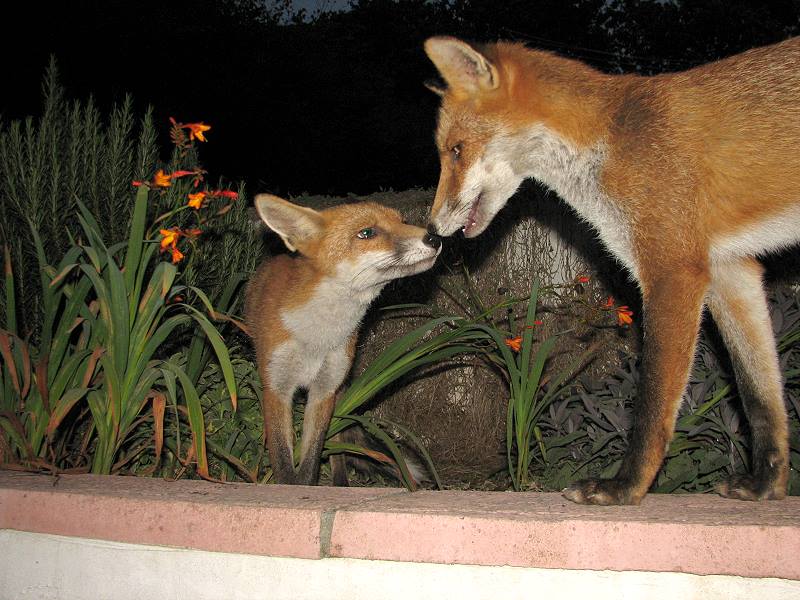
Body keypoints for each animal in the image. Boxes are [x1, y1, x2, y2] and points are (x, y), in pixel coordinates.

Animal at [245, 194, 442, 485]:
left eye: (403, 221)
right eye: (367, 233)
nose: (435, 238)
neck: (317, 336)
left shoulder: (324, 389)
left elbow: (312, 460)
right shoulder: (276, 388)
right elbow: (283, 462)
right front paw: (290, 489)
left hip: (338, 393)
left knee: (337, 448)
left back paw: (340, 482)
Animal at [423, 35, 800, 505]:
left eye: (456, 150)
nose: (431, 231)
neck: (607, 144)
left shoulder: (673, 271)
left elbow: (652, 405)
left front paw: (626, 487)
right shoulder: (731, 272)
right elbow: (760, 395)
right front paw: (767, 485)